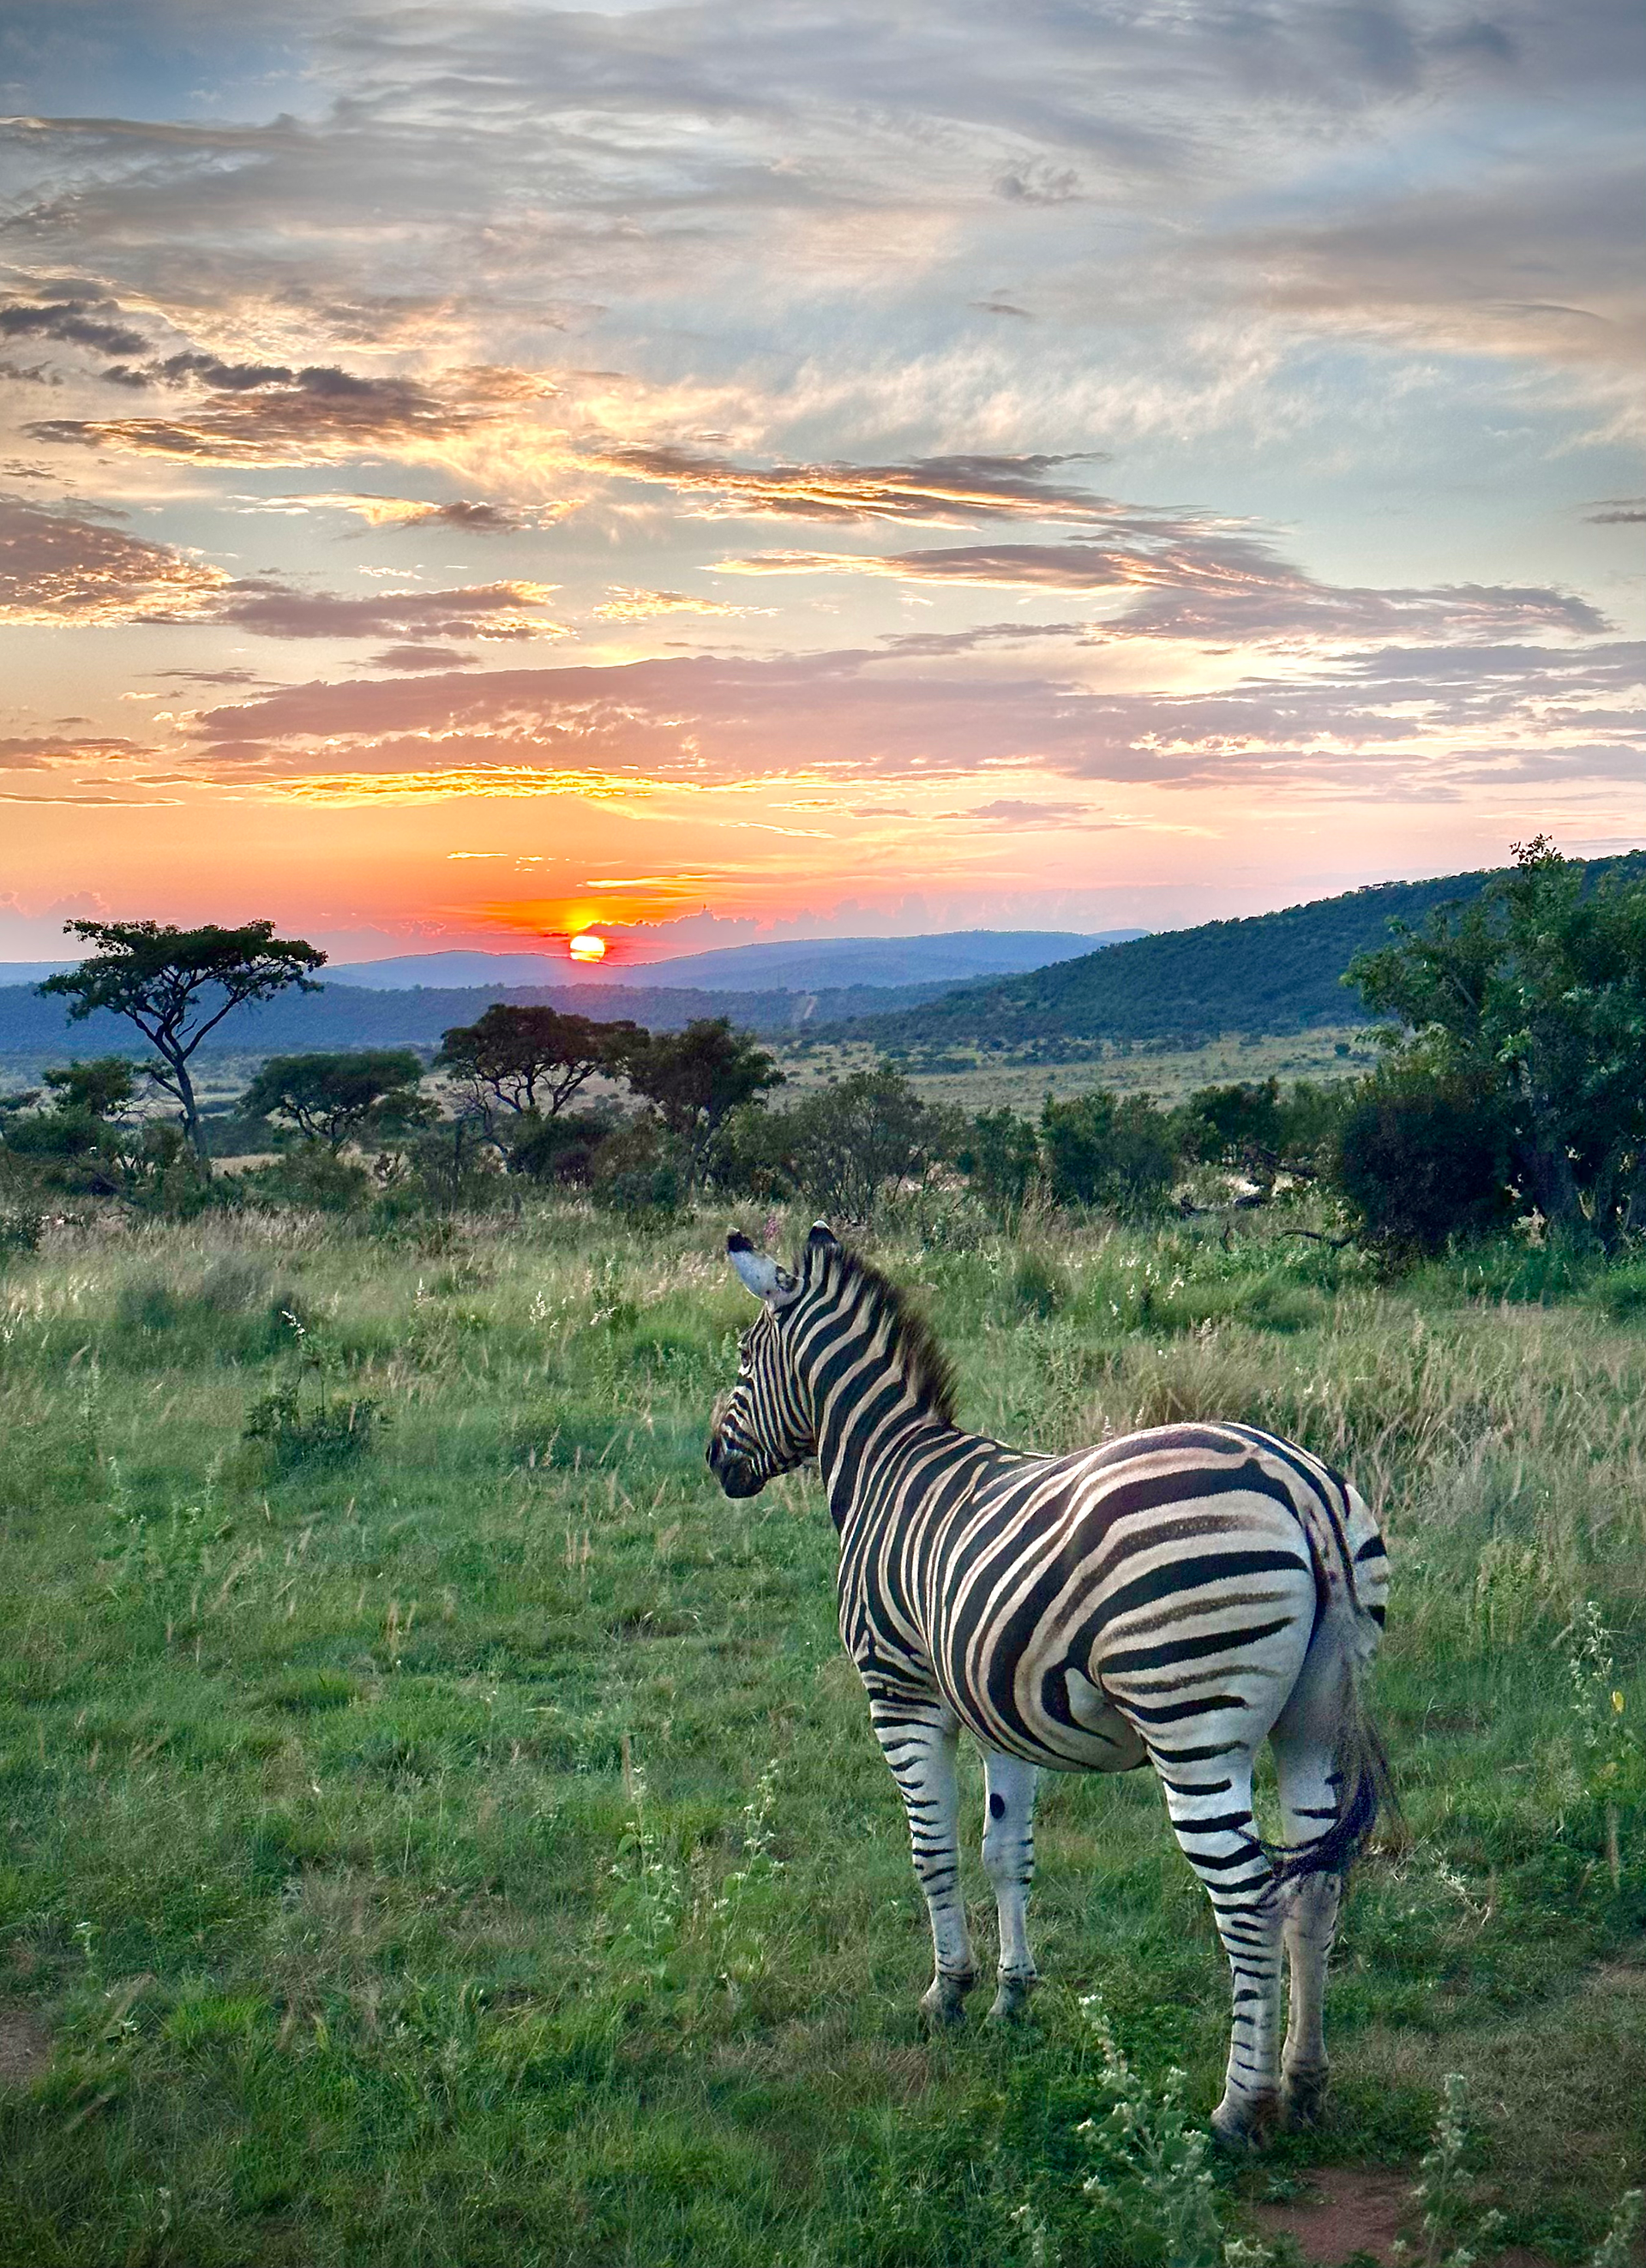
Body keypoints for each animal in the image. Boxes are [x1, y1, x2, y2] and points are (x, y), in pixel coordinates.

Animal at [706, 1222, 1391, 2147]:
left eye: (746, 1359)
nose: (715, 1461)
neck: (887, 1467)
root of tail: (1303, 1485)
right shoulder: (1001, 1710)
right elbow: (1006, 1853)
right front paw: (1012, 1995)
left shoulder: (902, 1694)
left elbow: (931, 1851)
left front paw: (948, 1993)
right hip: (1314, 1721)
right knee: (1316, 1884)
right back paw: (1306, 2080)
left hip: (1194, 1726)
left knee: (1250, 1901)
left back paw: (1238, 2107)